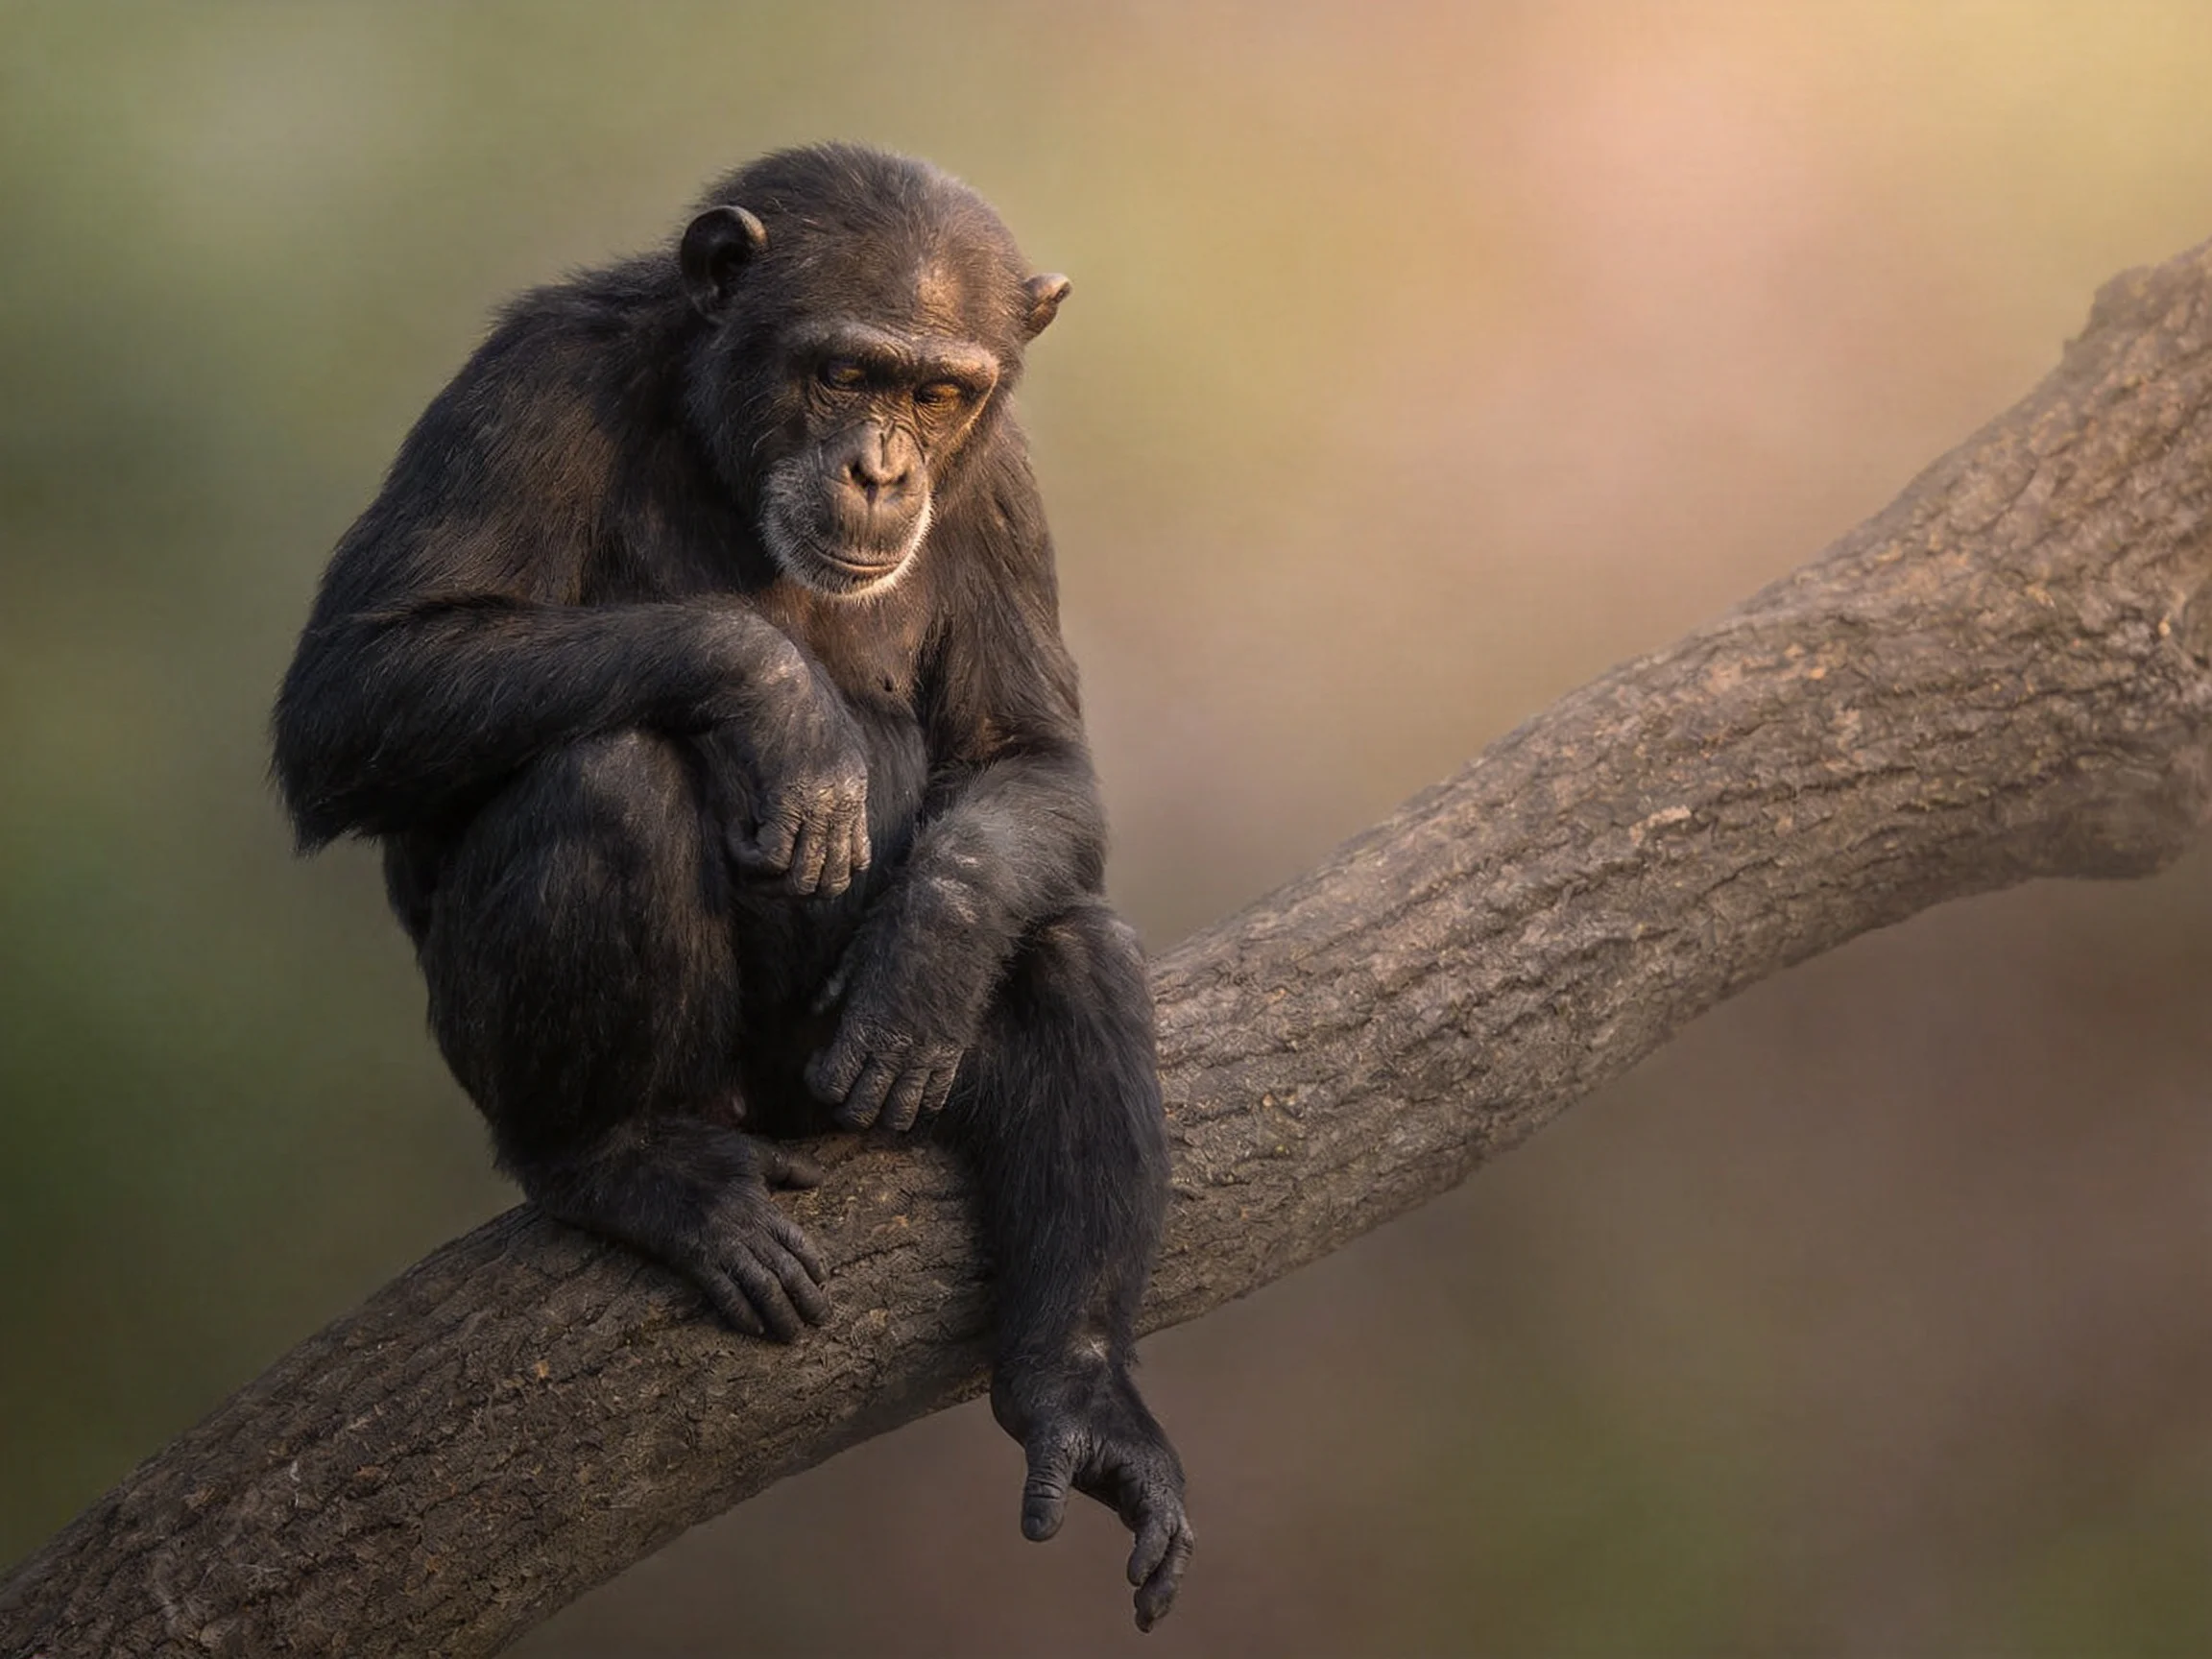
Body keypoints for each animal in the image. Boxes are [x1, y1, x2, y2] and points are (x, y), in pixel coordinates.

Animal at [272, 143, 1192, 1629]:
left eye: (939, 395)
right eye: (846, 372)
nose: (883, 464)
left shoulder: (1002, 484)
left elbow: (1032, 759)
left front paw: (933, 943)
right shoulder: (524, 387)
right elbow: (359, 678)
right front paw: (776, 698)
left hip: (837, 1095)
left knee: (1070, 946)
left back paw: (1084, 1394)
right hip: (657, 1083)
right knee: (607, 780)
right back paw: (623, 1163)